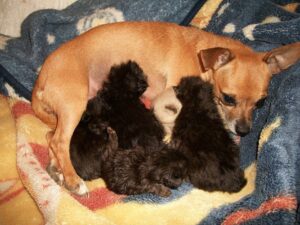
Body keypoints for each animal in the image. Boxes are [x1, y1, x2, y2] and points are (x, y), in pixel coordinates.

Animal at [31, 22, 298, 196]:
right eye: (228, 98)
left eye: (261, 103)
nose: (243, 131)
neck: (203, 58)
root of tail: (41, 79)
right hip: (74, 102)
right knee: (58, 141)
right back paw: (73, 180)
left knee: (51, 137)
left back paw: (57, 170)